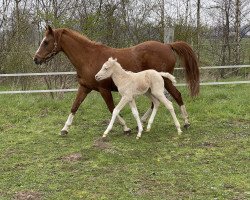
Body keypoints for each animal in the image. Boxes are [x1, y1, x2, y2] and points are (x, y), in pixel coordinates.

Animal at [33, 25, 199, 135]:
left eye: (46, 42)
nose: (36, 59)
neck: (88, 58)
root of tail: (167, 45)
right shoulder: (84, 87)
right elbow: (74, 106)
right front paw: (65, 129)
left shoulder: (104, 90)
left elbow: (112, 108)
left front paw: (126, 128)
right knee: (155, 102)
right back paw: (143, 122)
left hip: (165, 82)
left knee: (176, 96)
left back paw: (186, 123)